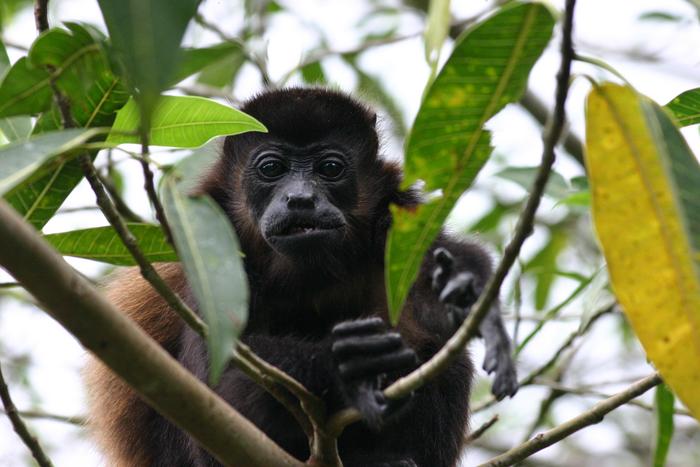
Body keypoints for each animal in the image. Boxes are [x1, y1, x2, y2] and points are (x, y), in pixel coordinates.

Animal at [85, 87, 518, 467]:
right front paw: (343, 365)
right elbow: (217, 384)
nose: (300, 199)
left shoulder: (393, 218)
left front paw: (467, 295)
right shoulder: (211, 250)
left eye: (330, 168)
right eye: (271, 169)